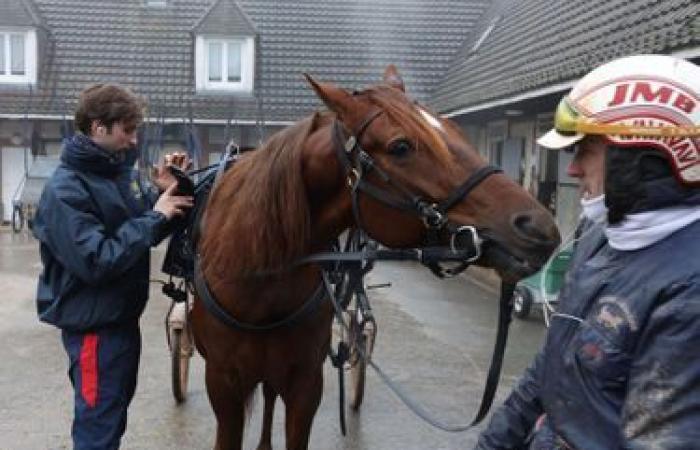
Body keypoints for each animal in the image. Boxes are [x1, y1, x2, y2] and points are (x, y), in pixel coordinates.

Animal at [190, 67, 556, 450]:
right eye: (401, 147)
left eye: (454, 130)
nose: (538, 227)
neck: (258, 286)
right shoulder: (224, 388)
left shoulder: (305, 383)